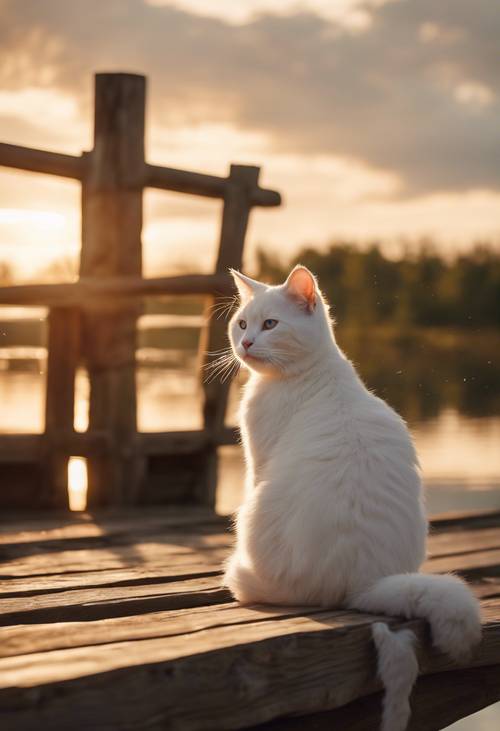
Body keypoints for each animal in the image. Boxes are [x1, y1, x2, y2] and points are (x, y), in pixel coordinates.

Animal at [222, 266, 480, 731]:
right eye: (242, 323)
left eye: (270, 324)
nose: (246, 342)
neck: (310, 374)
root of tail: (364, 582)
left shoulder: (257, 462)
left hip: (252, 512)